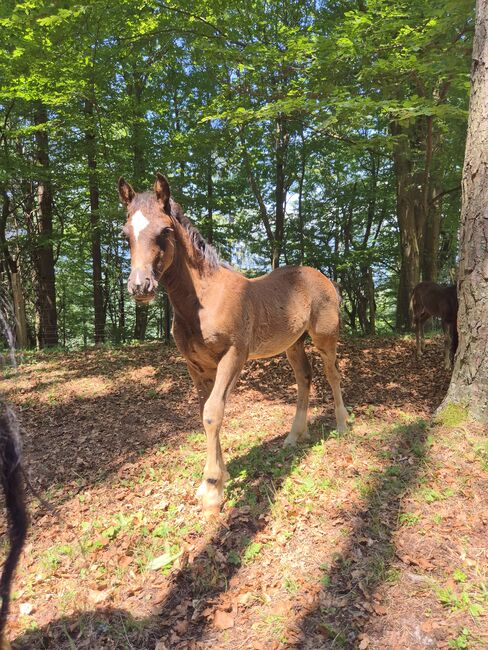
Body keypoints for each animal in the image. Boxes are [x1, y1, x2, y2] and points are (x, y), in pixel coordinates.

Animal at [118, 173, 349, 515]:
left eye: (165, 230)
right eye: (125, 234)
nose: (140, 286)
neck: (203, 300)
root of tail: (324, 278)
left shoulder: (234, 356)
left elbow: (213, 412)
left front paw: (213, 488)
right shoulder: (196, 366)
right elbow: (205, 413)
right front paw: (215, 480)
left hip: (324, 336)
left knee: (333, 374)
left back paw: (343, 425)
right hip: (293, 343)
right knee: (304, 378)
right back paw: (295, 436)